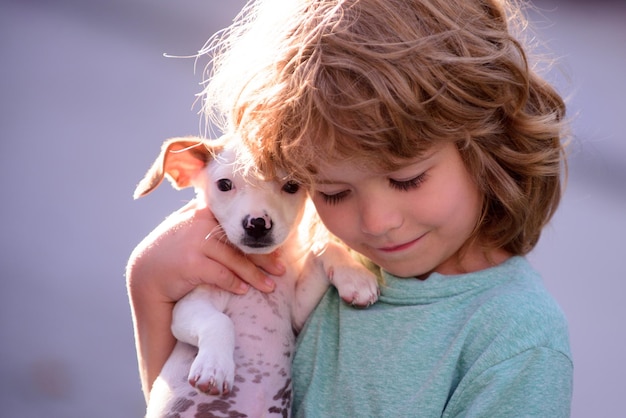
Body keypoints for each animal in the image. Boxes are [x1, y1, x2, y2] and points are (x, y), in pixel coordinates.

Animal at [133, 137, 376, 418]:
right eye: (224, 185)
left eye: (291, 186)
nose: (258, 224)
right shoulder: (189, 307)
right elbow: (219, 321)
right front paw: (214, 367)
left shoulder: (297, 313)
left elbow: (325, 247)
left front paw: (356, 278)